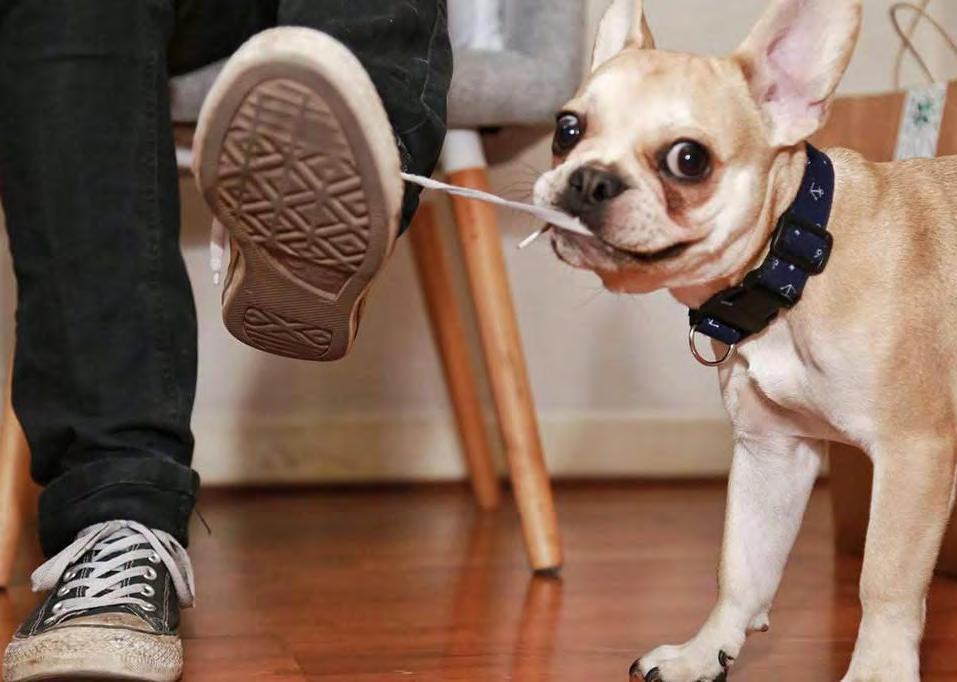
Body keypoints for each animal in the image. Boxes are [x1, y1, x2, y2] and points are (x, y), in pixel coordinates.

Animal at [534, 0, 957, 680]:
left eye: (689, 160)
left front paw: (877, 671)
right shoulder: (772, 453)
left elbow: (885, 580)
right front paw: (702, 652)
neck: (796, 259)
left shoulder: (914, 452)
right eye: (567, 130)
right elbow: (742, 565)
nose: (588, 179)